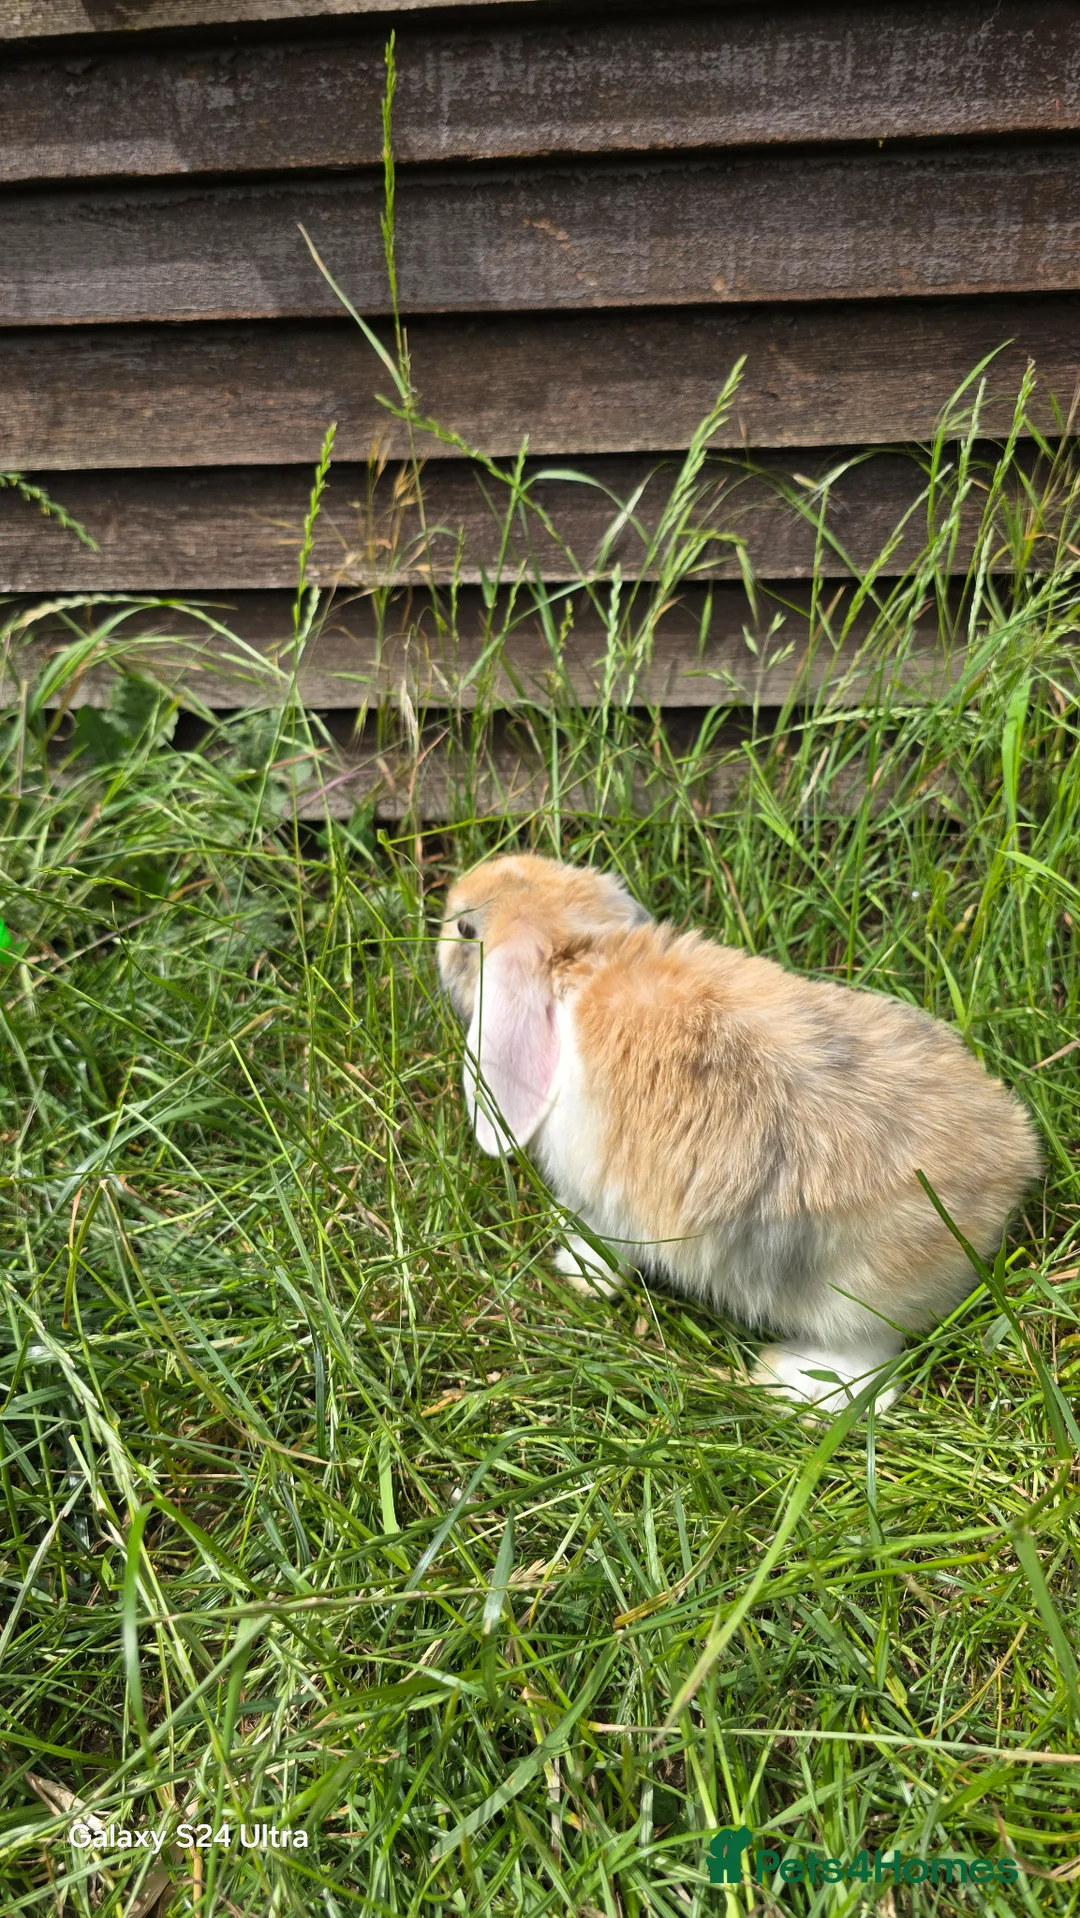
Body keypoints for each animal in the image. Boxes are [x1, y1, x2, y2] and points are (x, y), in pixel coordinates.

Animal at [438, 853, 1041, 1412]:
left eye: (467, 929)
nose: (446, 906)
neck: (581, 957)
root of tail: (1013, 1169)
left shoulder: (605, 1200)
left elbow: (603, 1244)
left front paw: (575, 1272)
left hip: (850, 1293)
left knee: (871, 1358)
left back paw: (790, 1384)